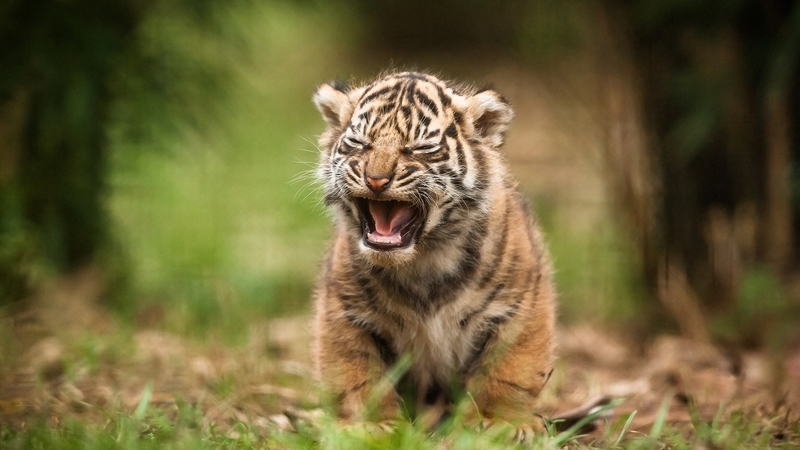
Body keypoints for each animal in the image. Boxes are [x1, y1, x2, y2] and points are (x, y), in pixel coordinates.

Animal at [311, 71, 556, 438]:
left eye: (419, 148)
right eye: (359, 143)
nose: (376, 179)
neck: (423, 259)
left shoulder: (520, 304)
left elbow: (509, 370)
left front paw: (500, 423)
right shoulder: (344, 310)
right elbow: (357, 374)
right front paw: (372, 424)